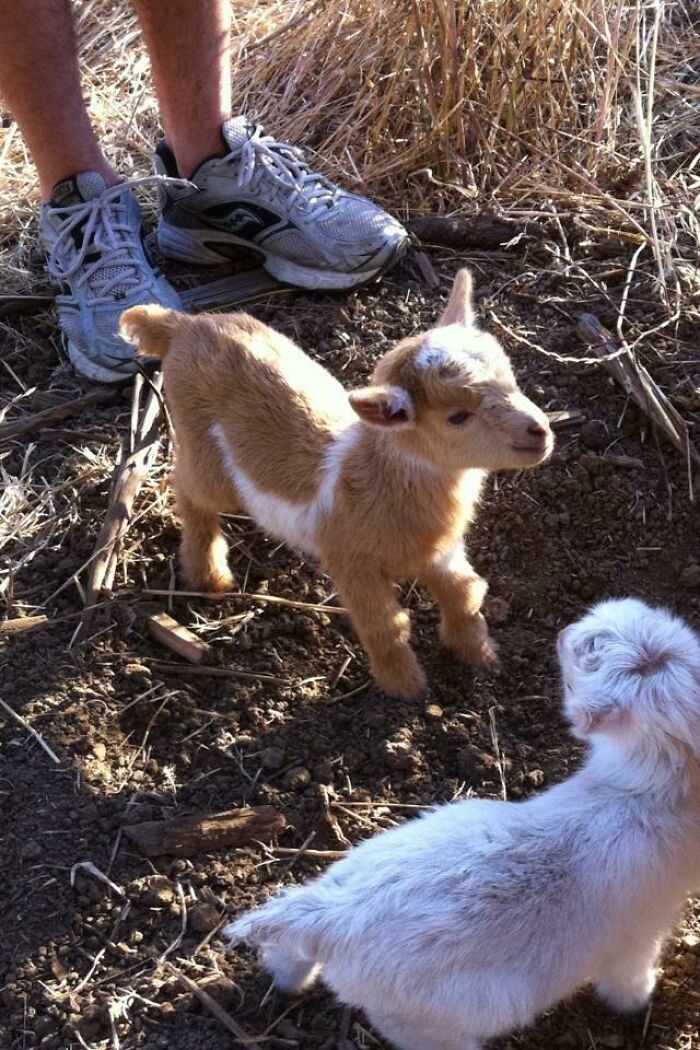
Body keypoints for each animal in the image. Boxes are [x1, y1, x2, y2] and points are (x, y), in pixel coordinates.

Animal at [120, 270, 552, 699]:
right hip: (202, 448)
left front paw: (481, 656)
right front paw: (406, 689)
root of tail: (181, 325)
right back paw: (208, 575)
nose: (541, 431)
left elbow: (465, 592)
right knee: (188, 489)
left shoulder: (440, 550)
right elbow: (386, 626)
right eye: (458, 416)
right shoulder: (351, 563)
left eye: (511, 378)